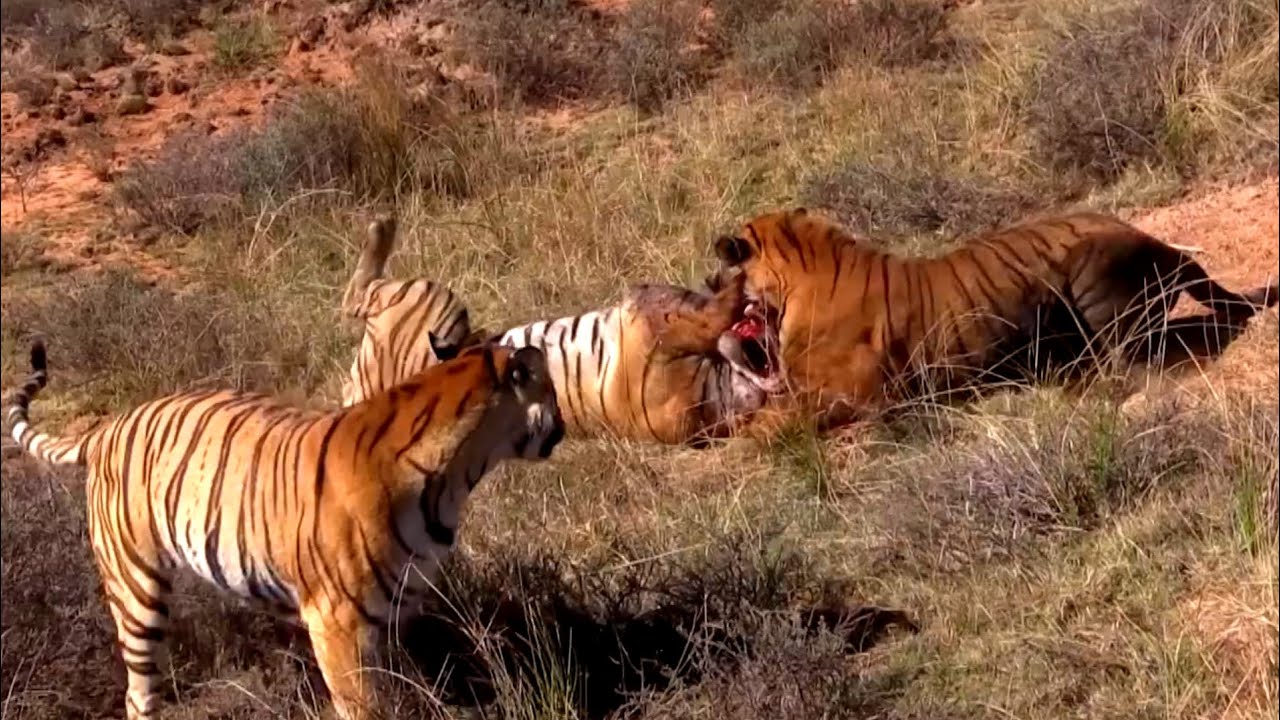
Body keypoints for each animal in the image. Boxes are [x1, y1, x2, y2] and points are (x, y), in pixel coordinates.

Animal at [3, 338, 563, 720]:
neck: (456, 477)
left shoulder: (395, 612)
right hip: (136, 589)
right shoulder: (338, 623)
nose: (560, 425)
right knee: (139, 693)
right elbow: (367, 706)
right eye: (551, 391)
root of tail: (107, 426)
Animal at [710, 207, 1279, 429]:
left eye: (720, 276)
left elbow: (769, 425)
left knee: (1135, 363)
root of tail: (1154, 240)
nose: (712, 288)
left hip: (1093, 279)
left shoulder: (858, 394)